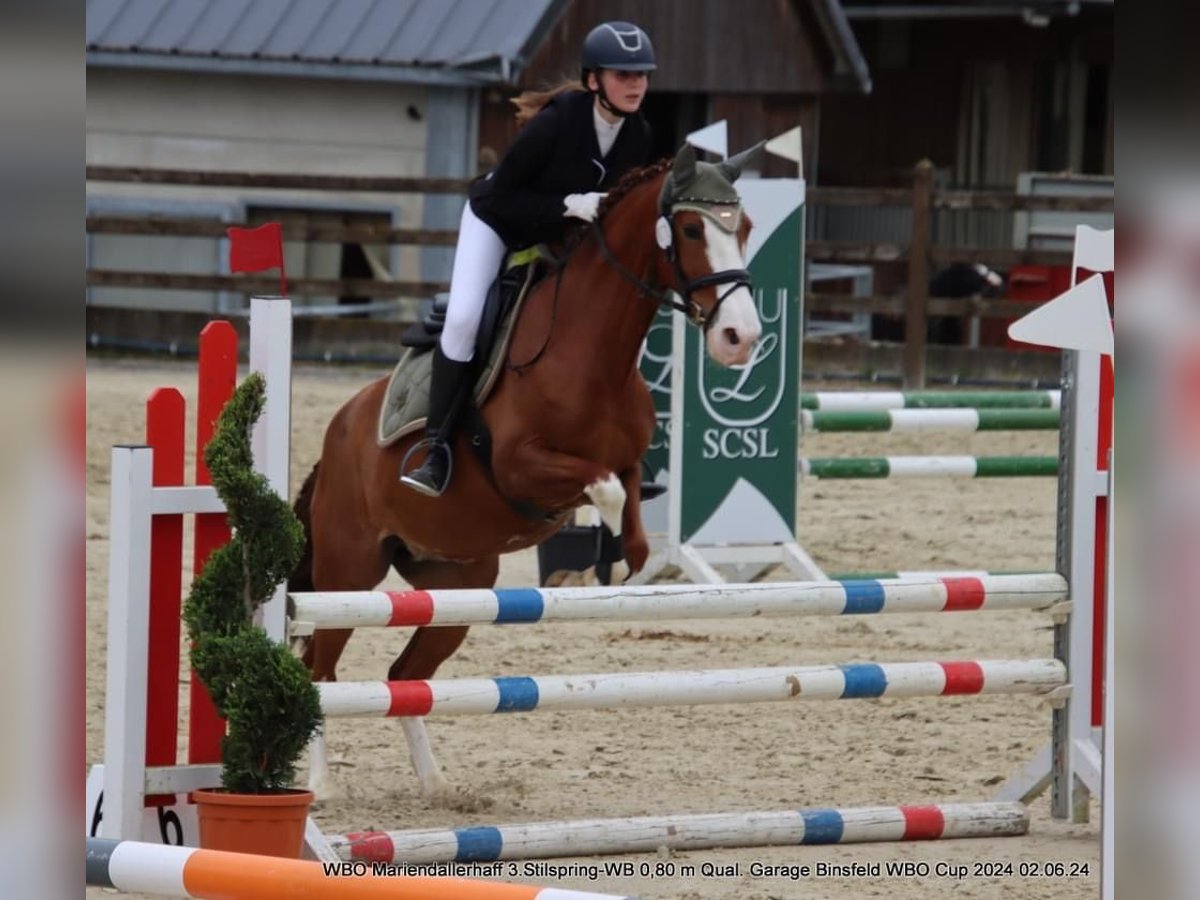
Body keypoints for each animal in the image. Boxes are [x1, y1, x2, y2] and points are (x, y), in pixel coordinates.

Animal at [289, 142, 758, 801]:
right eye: (691, 229)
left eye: (744, 229)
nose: (741, 338)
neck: (592, 352)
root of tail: (339, 431)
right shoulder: (520, 468)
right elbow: (603, 487)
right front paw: (601, 557)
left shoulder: (629, 459)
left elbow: (631, 496)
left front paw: (625, 561)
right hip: (348, 575)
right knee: (321, 667)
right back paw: (322, 785)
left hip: (457, 587)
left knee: (405, 674)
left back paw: (435, 782)